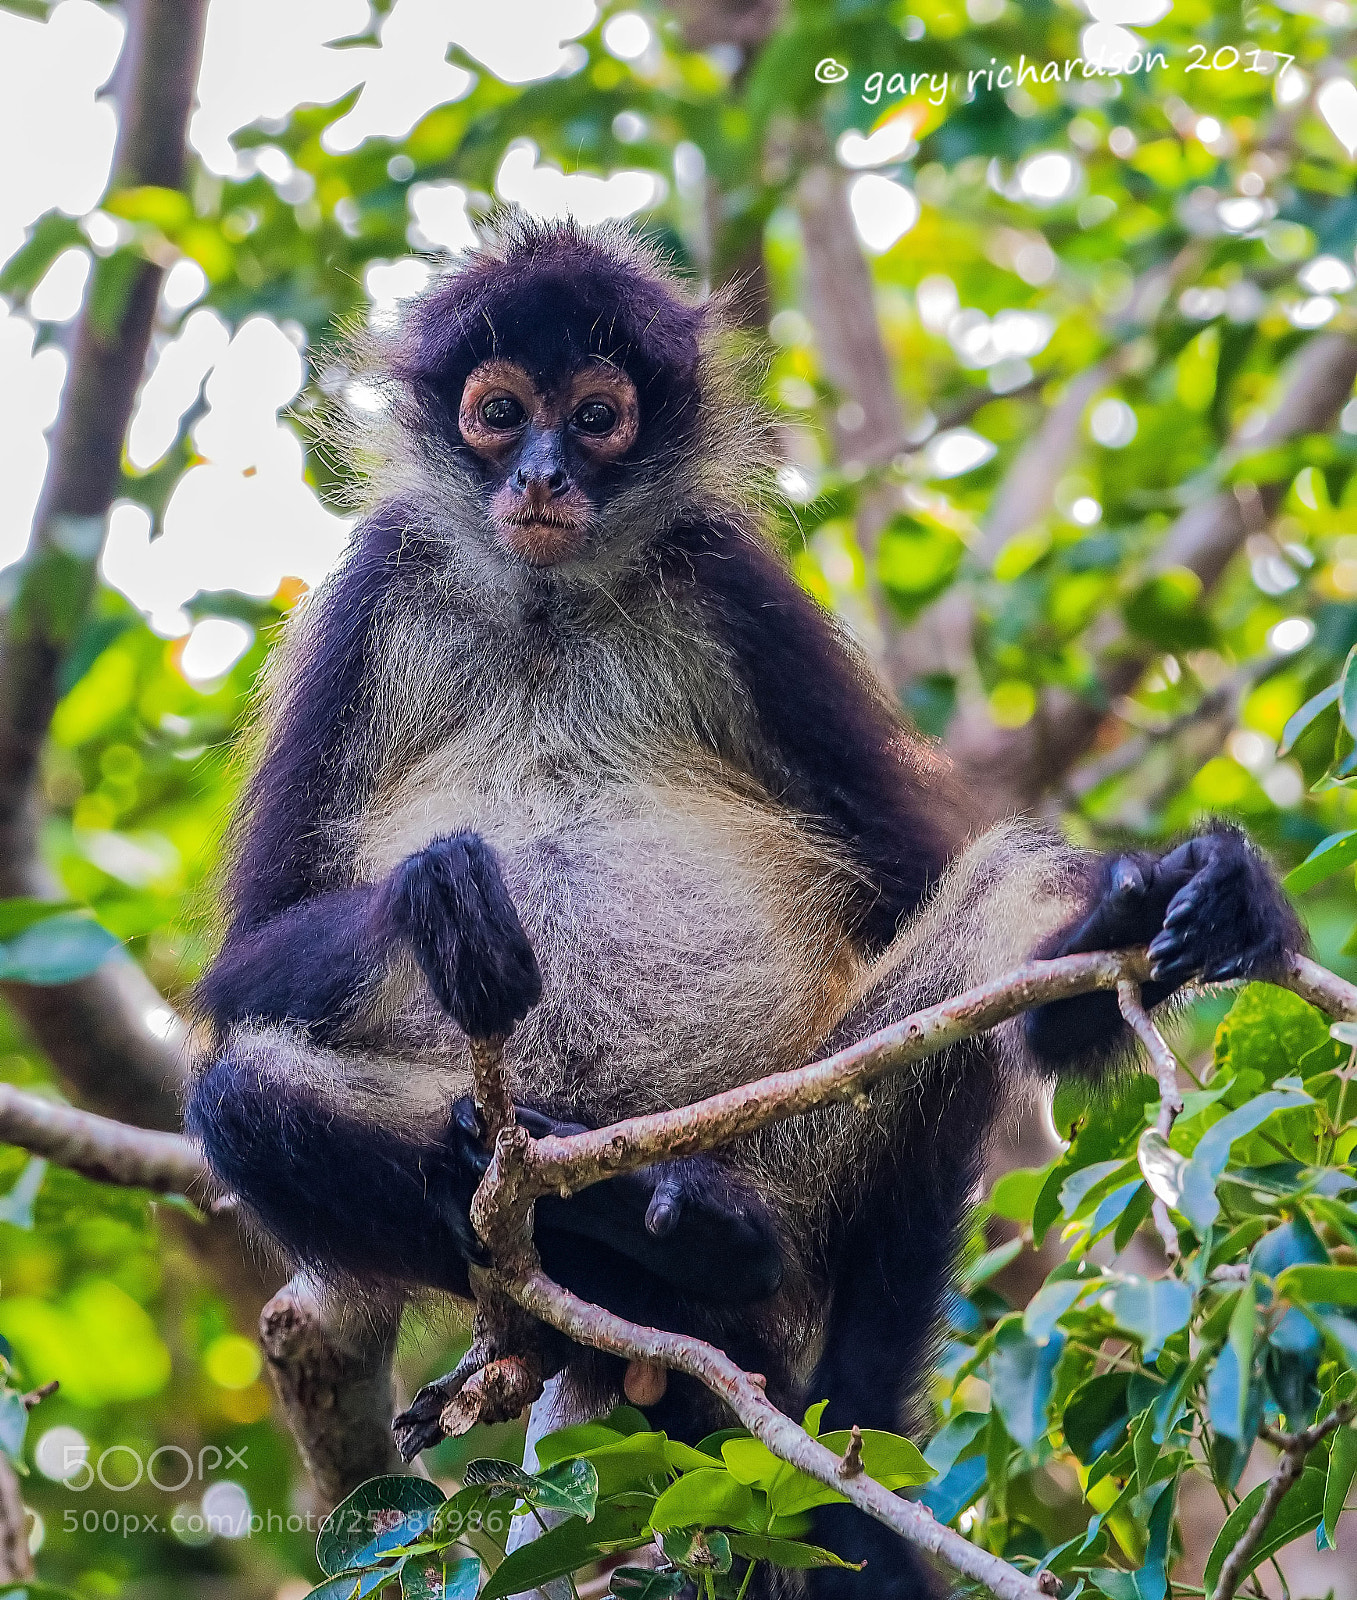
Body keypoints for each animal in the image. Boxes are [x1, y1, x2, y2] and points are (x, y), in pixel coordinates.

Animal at [184, 217, 1302, 1600]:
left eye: (595, 418)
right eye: (498, 414)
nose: (542, 472)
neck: (548, 603)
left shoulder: (724, 578)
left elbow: (916, 871)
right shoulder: (375, 585)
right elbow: (244, 967)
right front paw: (439, 903)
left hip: (797, 1160)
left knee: (993, 910)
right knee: (244, 1094)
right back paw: (600, 1230)